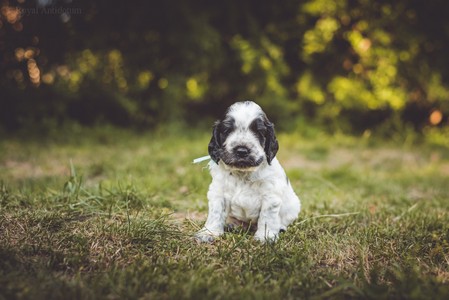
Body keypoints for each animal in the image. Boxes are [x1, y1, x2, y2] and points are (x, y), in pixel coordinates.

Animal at [194, 102, 300, 243]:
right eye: (227, 130)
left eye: (259, 131)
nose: (242, 151)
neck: (242, 174)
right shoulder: (218, 192)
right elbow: (216, 212)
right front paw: (209, 233)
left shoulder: (270, 196)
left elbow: (267, 216)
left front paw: (265, 237)